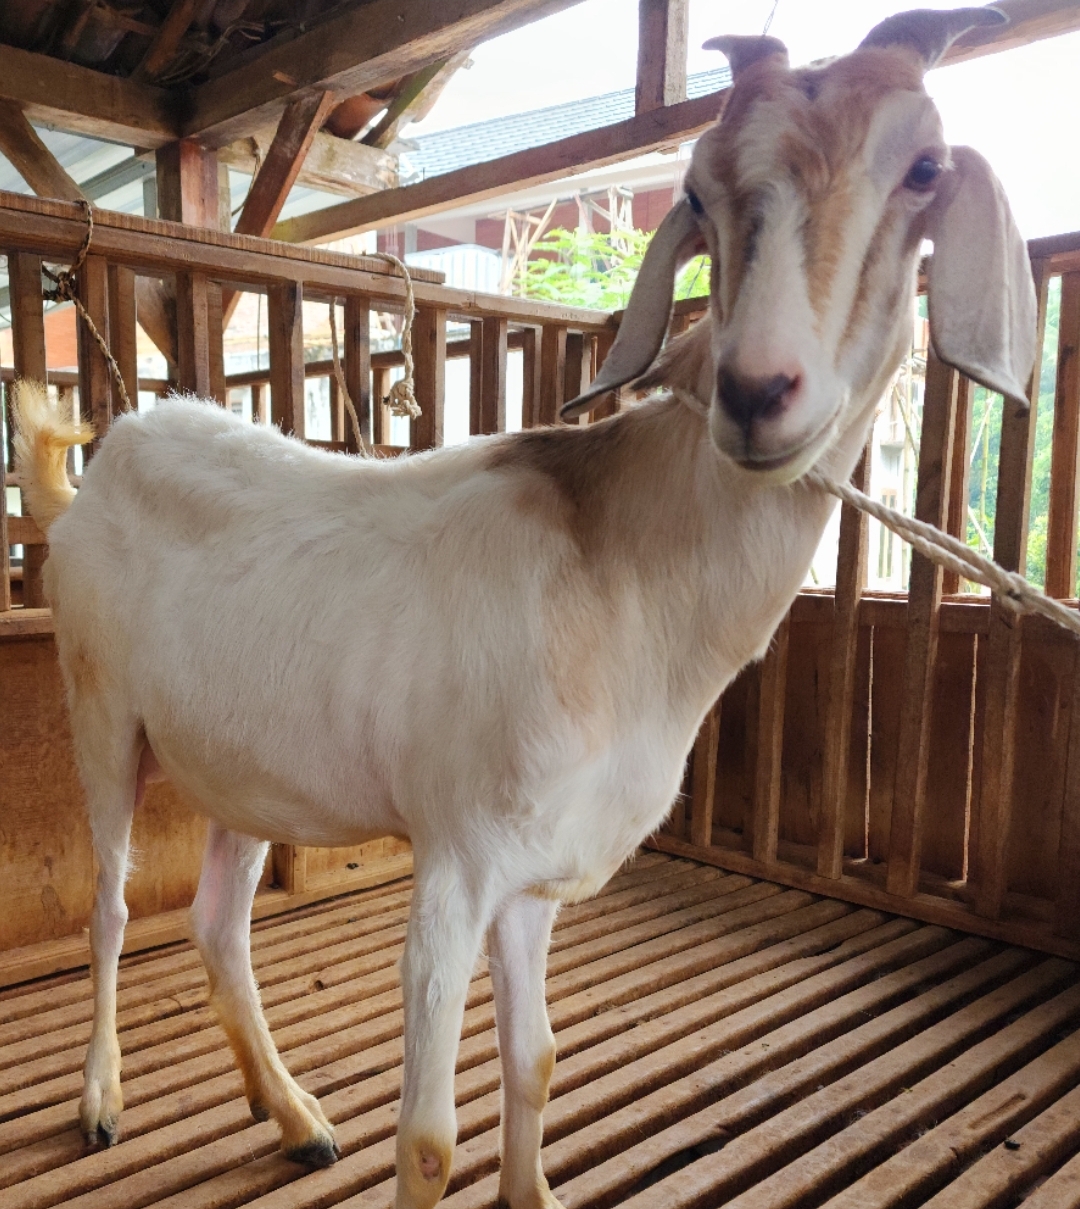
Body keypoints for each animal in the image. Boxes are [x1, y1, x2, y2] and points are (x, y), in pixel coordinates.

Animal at [12, 8, 1037, 1208]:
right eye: (699, 190)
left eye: (923, 170)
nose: (756, 391)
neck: (625, 574)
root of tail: (94, 472)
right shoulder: (457, 858)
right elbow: (426, 1137)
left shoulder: (536, 875)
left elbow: (536, 1060)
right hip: (101, 713)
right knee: (115, 907)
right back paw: (101, 1100)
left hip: (240, 765)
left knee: (218, 925)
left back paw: (295, 1115)